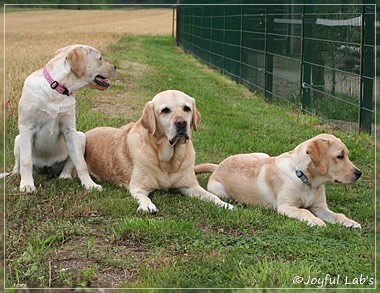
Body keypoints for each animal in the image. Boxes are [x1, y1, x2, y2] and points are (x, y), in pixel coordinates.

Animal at [12, 44, 116, 192]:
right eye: (100, 58)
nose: (115, 67)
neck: (56, 88)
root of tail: (47, 168)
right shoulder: (27, 128)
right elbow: (26, 161)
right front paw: (27, 185)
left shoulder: (70, 130)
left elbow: (81, 163)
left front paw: (90, 185)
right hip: (18, 139)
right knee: (19, 162)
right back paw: (15, 173)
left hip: (81, 137)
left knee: (70, 164)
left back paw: (65, 176)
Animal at [84, 89, 235, 212]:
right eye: (165, 110)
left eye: (186, 108)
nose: (181, 123)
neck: (169, 161)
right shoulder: (138, 187)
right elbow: (144, 197)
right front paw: (147, 205)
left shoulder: (190, 186)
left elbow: (211, 196)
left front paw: (225, 204)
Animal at [196, 133, 362, 227]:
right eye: (340, 156)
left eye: (346, 155)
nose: (359, 173)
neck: (304, 178)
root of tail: (218, 165)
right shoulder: (286, 207)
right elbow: (304, 211)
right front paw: (315, 221)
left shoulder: (320, 207)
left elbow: (337, 215)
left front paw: (350, 222)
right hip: (219, 191)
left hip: (262, 154)